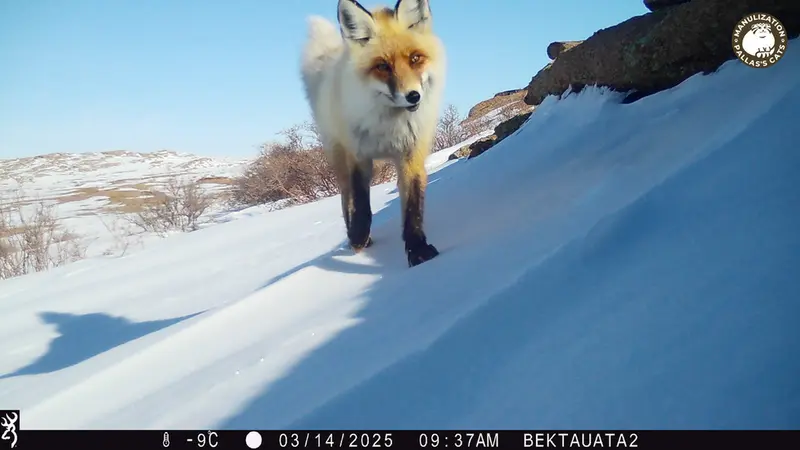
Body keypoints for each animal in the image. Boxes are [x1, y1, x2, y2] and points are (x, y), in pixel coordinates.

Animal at [299, 0, 445, 267]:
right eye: (382, 66)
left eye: (415, 58)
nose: (413, 96)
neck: (389, 126)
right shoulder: (358, 155)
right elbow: (360, 203)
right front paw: (358, 236)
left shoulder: (411, 152)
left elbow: (413, 206)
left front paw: (417, 248)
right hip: (338, 156)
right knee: (345, 198)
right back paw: (356, 237)